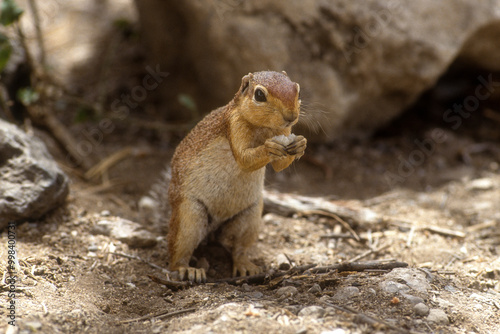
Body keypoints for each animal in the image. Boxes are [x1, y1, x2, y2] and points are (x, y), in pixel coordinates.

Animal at [167, 70, 304, 282]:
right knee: (177, 252)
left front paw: (301, 144)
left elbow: (280, 165)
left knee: (237, 249)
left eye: (296, 89)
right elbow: (244, 159)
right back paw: (187, 269)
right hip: (188, 216)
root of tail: (213, 231)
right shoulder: (234, 125)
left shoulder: (284, 130)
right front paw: (269, 147)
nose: (291, 116)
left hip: (250, 218)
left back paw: (246, 266)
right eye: (259, 95)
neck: (262, 127)